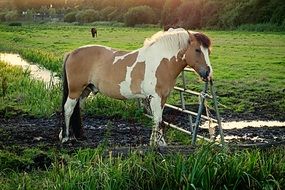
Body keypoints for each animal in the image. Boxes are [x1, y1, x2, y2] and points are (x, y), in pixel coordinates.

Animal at [59, 27, 211, 145]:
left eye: (208, 51)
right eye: (197, 50)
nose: (208, 72)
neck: (161, 62)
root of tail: (71, 53)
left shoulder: (162, 98)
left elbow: (158, 119)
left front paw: (158, 143)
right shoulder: (155, 97)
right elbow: (157, 120)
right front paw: (157, 143)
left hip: (84, 91)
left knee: (76, 110)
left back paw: (75, 135)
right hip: (75, 90)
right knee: (68, 109)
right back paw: (66, 137)